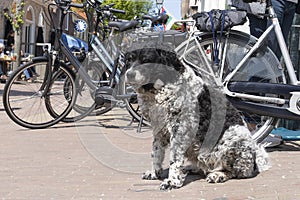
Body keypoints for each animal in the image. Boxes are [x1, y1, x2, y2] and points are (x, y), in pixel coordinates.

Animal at [123, 42, 270, 191]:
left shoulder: (180, 129)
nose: (129, 74)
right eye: (129, 60)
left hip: (231, 141)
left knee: (236, 172)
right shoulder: (158, 129)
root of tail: (254, 161)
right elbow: (156, 153)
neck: (159, 90)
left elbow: (174, 159)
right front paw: (154, 172)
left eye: (146, 60)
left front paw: (172, 181)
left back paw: (218, 175)